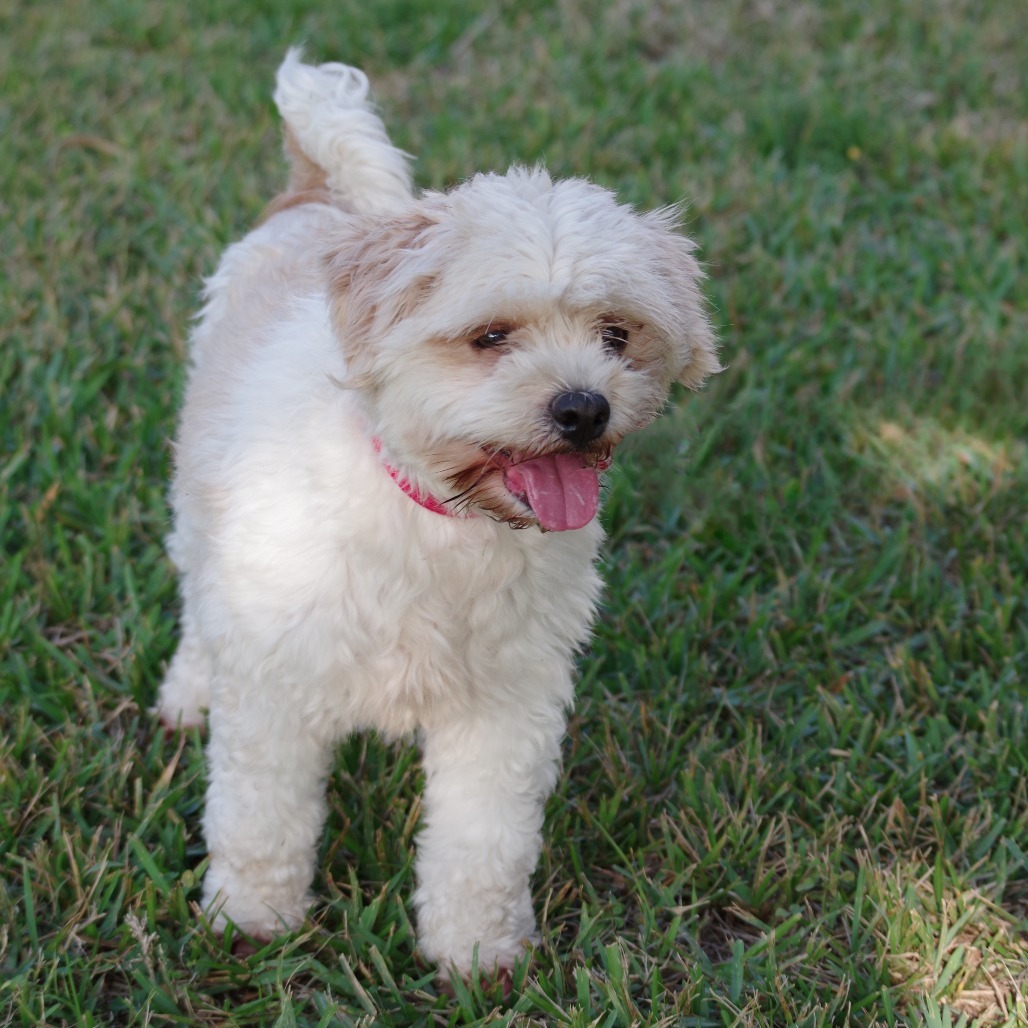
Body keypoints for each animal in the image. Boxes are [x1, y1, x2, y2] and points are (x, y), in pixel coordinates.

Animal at [158, 50, 723, 986]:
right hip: (200, 503)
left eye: (616, 334)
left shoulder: (509, 702)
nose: (584, 407)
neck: (437, 517)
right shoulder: (279, 686)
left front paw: (477, 955)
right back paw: (188, 694)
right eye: (490, 336)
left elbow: (483, 843)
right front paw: (250, 924)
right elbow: (262, 820)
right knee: (201, 604)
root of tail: (315, 196)